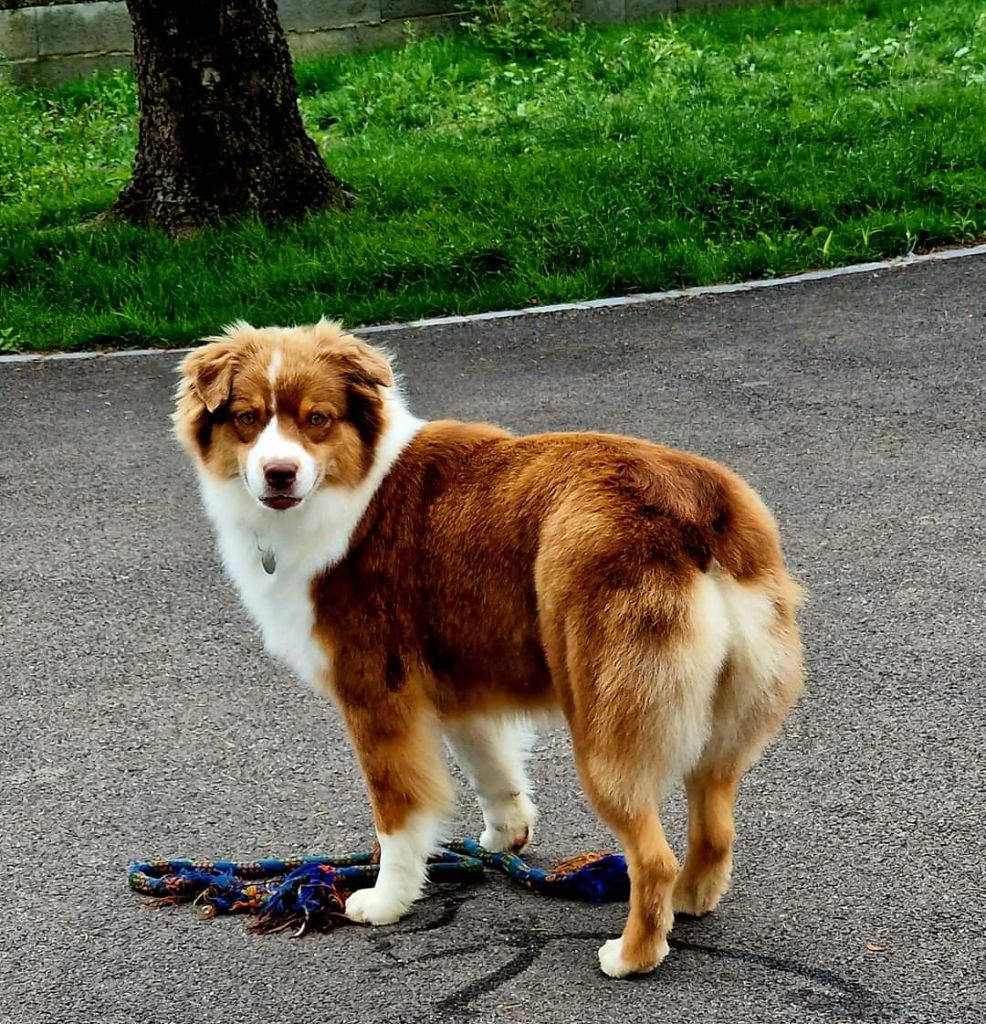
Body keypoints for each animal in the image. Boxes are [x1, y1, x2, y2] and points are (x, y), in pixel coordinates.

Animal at [177, 319, 806, 974]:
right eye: (247, 418)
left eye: (317, 419)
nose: (279, 473)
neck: (349, 486)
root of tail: (695, 509)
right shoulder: (459, 683)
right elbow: (492, 770)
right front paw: (506, 838)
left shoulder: (377, 693)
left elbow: (397, 815)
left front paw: (386, 900)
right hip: (724, 720)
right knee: (715, 827)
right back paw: (688, 901)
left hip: (606, 722)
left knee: (652, 857)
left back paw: (630, 955)